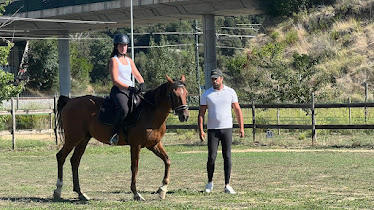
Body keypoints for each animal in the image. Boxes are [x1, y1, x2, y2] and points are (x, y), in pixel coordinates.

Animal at [52, 74, 190, 201]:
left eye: (186, 94)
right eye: (174, 94)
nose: (185, 116)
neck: (150, 112)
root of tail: (70, 101)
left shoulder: (154, 145)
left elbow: (167, 161)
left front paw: (162, 189)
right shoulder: (136, 145)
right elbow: (135, 167)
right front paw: (136, 193)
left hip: (83, 139)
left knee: (75, 161)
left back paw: (80, 193)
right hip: (73, 138)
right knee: (61, 157)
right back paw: (58, 190)